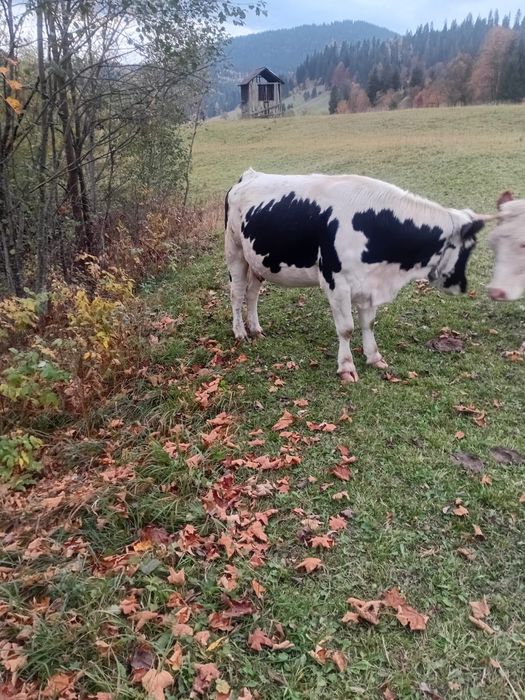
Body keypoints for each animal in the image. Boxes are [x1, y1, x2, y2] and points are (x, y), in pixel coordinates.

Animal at [225, 169, 486, 382]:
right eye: (465, 248)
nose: (461, 286)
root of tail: (249, 175)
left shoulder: (369, 284)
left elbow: (368, 323)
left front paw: (374, 357)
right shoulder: (336, 283)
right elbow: (346, 328)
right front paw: (347, 367)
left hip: (258, 262)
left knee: (252, 294)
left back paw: (256, 329)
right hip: (234, 252)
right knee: (237, 294)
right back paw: (240, 332)